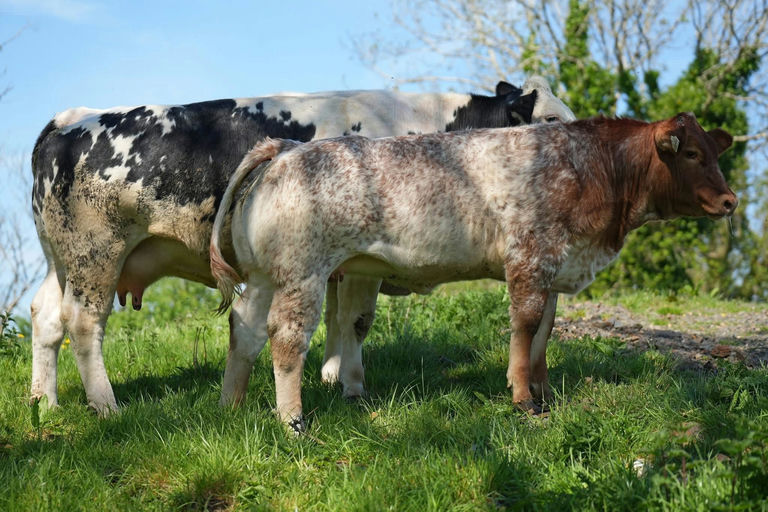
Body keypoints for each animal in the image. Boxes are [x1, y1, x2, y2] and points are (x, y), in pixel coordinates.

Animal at [30, 77, 575, 414]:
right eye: (549, 121)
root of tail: (74, 118)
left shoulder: (338, 263)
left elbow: (337, 320)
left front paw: (333, 378)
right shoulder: (361, 262)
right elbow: (356, 320)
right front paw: (352, 388)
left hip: (62, 259)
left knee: (45, 316)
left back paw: (44, 404)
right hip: (95, 252)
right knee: (84, 322)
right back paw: (107, 406)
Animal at [210, 113, 736, 432]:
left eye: (715, 152)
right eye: (691, 153)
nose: (731, 200)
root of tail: (286, 148)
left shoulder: (554, 268)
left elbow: (544, 334)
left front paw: (544, 394)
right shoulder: (529, 260)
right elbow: (524, 329)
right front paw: (522, 399)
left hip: (264, 276)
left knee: (245, 329)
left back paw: (232, 405)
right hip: (302, 273)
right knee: (286, 339)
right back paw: (293, 423)